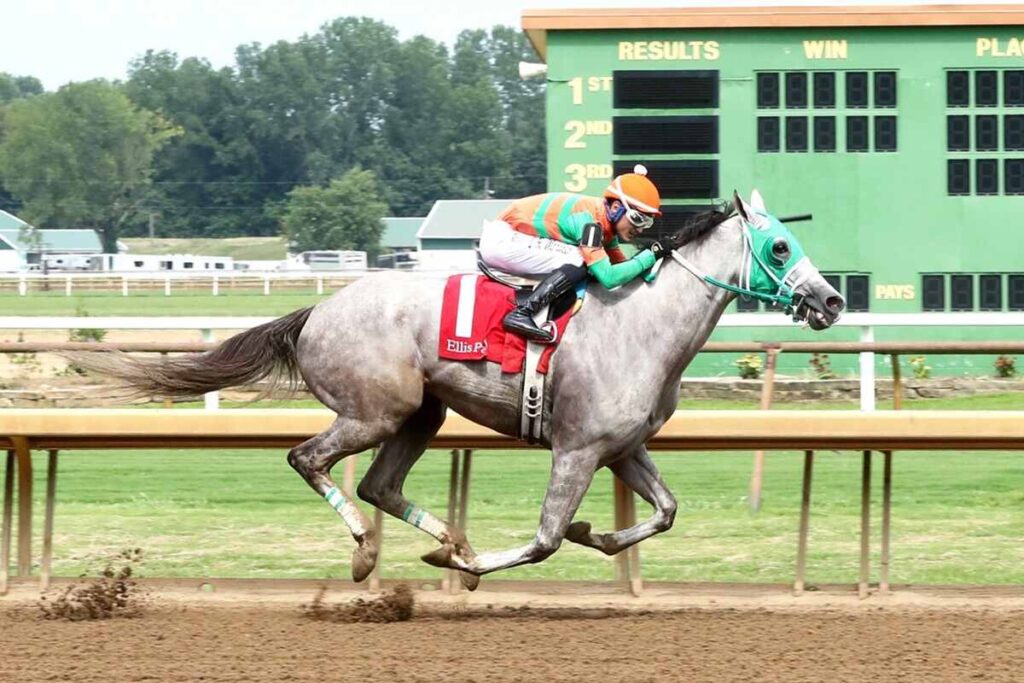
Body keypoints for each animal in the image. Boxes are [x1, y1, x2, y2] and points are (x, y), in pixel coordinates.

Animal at [90, 191, 839, 589]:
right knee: (311, 460)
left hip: (421, 414)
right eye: (778, 249)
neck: (641, 323)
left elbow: (665, 511)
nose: (831, 301)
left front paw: (593, 533)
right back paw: (371, 551)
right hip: (374, 410)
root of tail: (317, 311)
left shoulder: (622, 447)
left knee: (378, 484)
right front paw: (480, 564)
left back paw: (444, 539)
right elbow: (545, 540)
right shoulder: (576, 449)